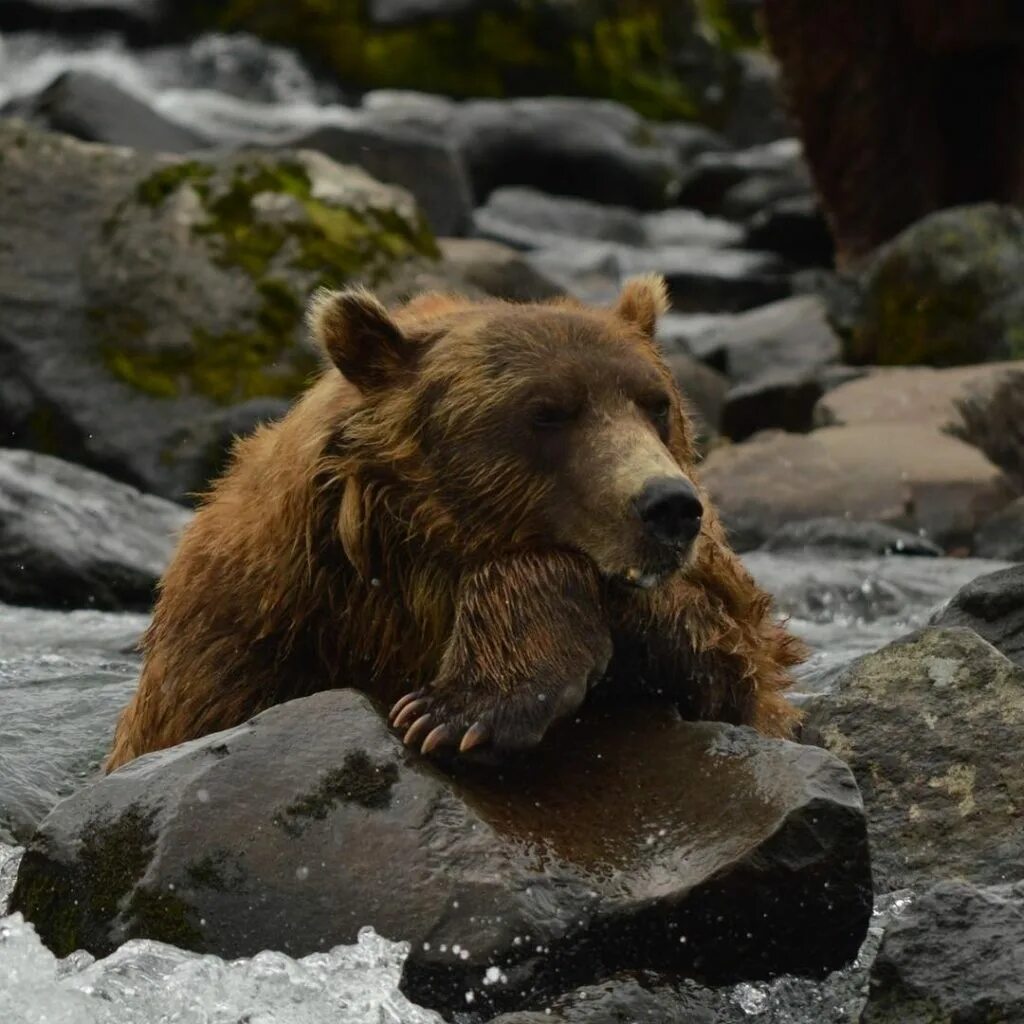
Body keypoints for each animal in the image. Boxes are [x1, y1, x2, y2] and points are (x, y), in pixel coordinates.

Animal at [105, 276, 806, 770]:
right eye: (546, 412)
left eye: (656, 404)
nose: (668, 506)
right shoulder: (250, 622)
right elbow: (195, 714)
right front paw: (457, 711)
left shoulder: (716, 613)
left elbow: (728, 654)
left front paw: (454, 711)